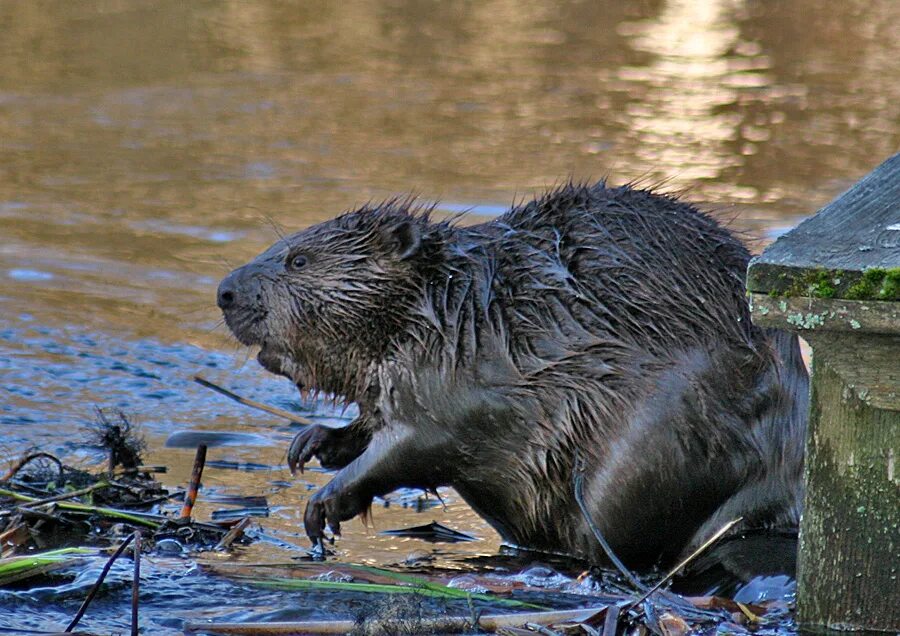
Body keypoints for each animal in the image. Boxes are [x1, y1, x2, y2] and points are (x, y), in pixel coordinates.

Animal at [216, 183, 808, 568]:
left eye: (298, 260)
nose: (225, 290)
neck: (452, 305)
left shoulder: (463, 379)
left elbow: (416, 445)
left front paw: (322, 505)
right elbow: (371, 420)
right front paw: (311, 444)